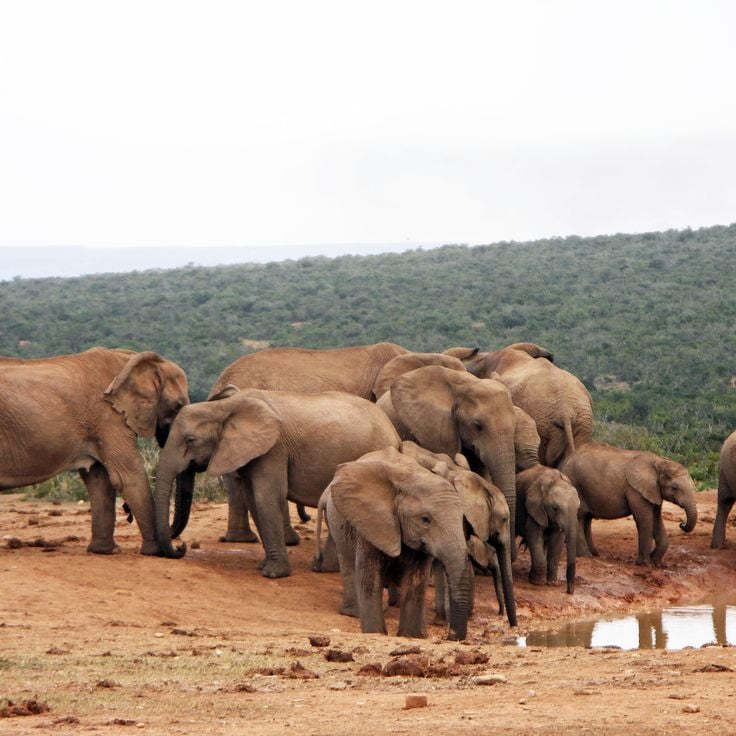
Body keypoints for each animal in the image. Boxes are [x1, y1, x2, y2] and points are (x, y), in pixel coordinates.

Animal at [0, 347, 189, 554]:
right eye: (178, 406)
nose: (181, 546)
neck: (128, 359)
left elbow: (99, 479)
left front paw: (105, 551)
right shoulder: (109, 415)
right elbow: (128, 476)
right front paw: (156, 552)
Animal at [154, 388, 400, 578]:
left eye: (190, 440)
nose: (181, 547)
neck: (224, 407)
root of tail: (395, 434)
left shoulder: (274, 449)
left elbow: (266, 497)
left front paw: (272, 574)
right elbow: (253, 499)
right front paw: (263, 567)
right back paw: (325, 568)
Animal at [321, 446, 472, 640]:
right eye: (425, 520)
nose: (449, 635)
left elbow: (415, 582)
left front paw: (410, 636)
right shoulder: (372, 523)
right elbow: (370, 579)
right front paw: (375, 634)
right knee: (348, 565)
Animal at [516, 465, 580, 593]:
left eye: (578, 508)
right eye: (555, 508)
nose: (569, 591)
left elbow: (557, 541)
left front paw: (552, 583)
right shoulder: (534, 507)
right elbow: (533, 536)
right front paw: (538, 583)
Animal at [560, 442, 698, 566]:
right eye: (675, 488)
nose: (682, 523)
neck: (658, 462)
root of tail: (567, 460)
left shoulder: (653, 491)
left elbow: (657, 519)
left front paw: (658, 563)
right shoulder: (635, 490)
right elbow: (644, 519)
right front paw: (645, 563)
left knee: (587, 518)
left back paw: (594, 554)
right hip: (575, 484)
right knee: (580, 517)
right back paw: (585, 555)